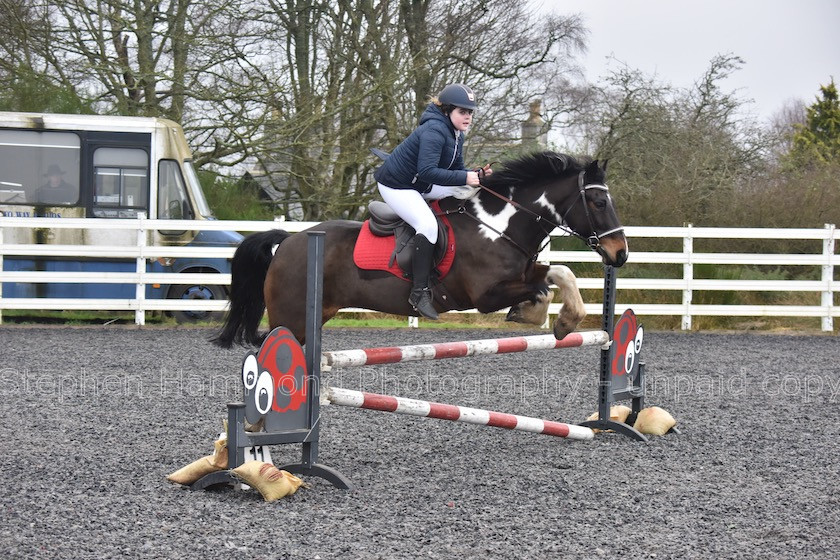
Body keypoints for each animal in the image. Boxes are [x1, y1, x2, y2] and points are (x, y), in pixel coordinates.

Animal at [213, 151, 628, 348]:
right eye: (597, 203)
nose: (620, 253)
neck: (499, 224)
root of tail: (290, 239)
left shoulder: (521, 274)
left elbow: (559, 273)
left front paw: (557, 319)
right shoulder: (485, 295)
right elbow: (545, 284)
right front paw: (543, 315)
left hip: (315, 315)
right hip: (291, 319)